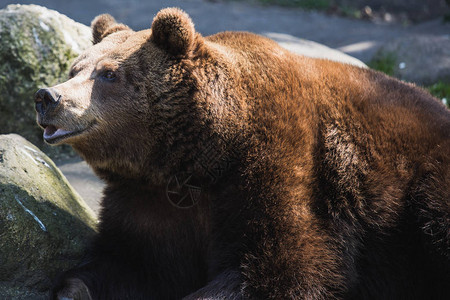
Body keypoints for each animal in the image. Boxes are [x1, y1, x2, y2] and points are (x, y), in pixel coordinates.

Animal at [36, 7, 450, 300]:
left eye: (108, 74)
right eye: (74, 68)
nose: (48, 96)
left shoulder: (281, 169)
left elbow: (281, 270)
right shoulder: (148, 201)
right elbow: (131, 264)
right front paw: (71, 290)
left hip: (422, 181)